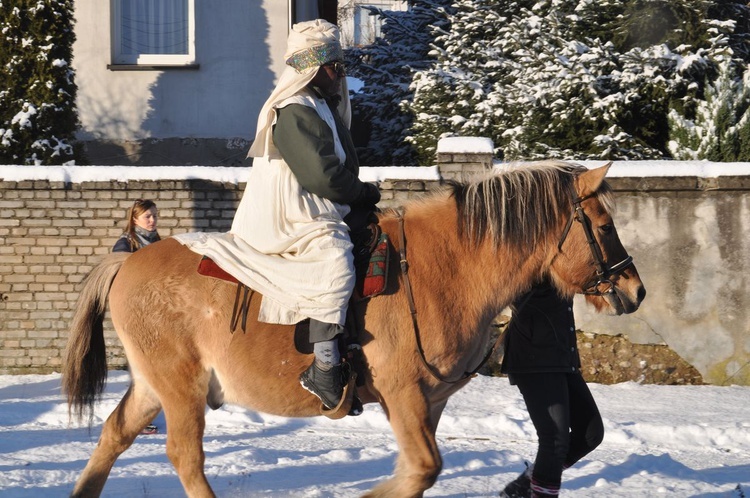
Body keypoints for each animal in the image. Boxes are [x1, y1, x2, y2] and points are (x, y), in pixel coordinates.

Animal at [61, 160, 648, 498]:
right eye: (603, 225)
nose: (636, 288)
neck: (447, 266)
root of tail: (129, 262)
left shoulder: (428, 402)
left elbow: (419, 471)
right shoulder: (403, 393)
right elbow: (422, 469)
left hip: (153, 385)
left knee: (114, 434)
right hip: (180, 387)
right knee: (184, 457)